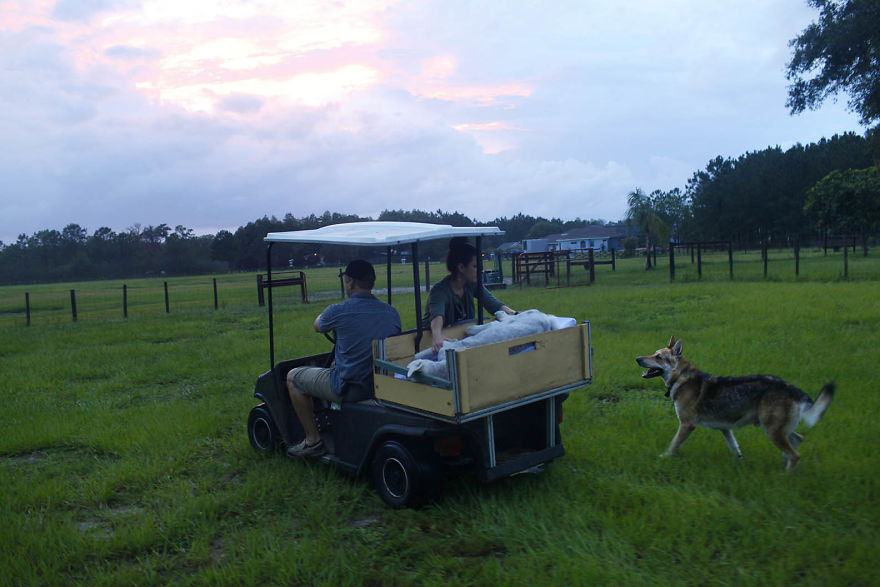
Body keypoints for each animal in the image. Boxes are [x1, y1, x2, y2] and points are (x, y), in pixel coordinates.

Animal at [636, 338, 836, 470]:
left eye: (659, 357)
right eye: (654, 353)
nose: (637, 358)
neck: (681, 376)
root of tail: (791, 388)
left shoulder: (686, 425)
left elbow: (673, 445)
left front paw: (663, 458)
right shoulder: (725, 428)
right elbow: (735, 448)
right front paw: (739, 463)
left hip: (772, 430)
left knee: (795, 454)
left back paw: (785, 476)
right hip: (777, 428)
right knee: (797, 440)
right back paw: (784, 464)